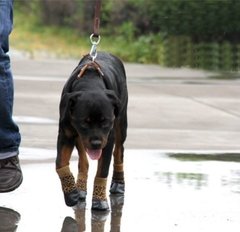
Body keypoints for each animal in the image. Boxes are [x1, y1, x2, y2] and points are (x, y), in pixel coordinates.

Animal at [55, 52, 127, 210]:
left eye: (105, 121)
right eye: (84, 122)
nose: (96, 143)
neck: (90, 84)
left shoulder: (108, 139)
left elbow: (103, 169)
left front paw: (99, 200)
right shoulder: (65, 133)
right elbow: (60, 162)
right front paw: (71, 194)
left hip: (121, 121)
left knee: (119, 151)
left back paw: (118, 183)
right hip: (79, 137)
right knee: (83, 158)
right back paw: (80, 188)